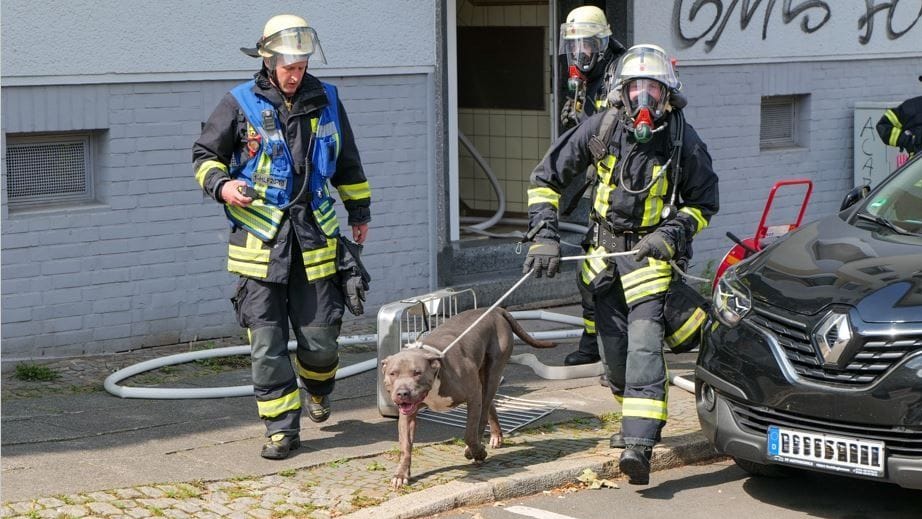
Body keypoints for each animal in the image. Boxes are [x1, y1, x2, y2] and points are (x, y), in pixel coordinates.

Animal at [378, 306, 548, 490]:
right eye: (393, 373)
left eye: (417, 373)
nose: (402, 393)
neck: (437, 374)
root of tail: (494, 310)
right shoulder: (408, 414)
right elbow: (405, 445)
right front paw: (401, 474)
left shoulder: (472, 396)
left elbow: (469, 434)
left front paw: (478, 452)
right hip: (482, 378)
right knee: (489, 405)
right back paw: (496, 436)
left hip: (492, 371)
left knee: (483, 414)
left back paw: (477, 447)